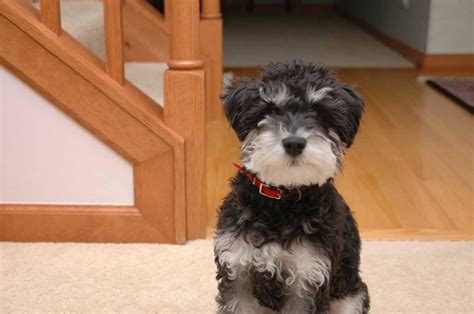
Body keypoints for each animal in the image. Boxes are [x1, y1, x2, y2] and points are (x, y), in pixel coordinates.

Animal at [214, 60, 370, 312]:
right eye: (270, 110)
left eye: (319, 112)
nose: (294, 143)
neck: (281, 202)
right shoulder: (237, 271)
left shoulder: (308, 279)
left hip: (352, 296)